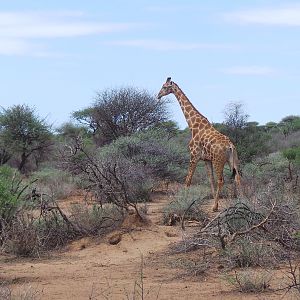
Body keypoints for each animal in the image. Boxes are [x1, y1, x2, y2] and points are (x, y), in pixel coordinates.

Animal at [157, 77, 241, 212]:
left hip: (218, 161)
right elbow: (210, 180)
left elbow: (188, 180)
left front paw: (184, 203)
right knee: (237, 178)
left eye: (164, 87)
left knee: (221, 180)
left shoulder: (194, 155)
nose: (158, 95)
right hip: (233, 160)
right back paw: (241, 203)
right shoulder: (206, 159)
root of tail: (230, 146)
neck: (193, 125)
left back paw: (216, 208)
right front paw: (215, 203)